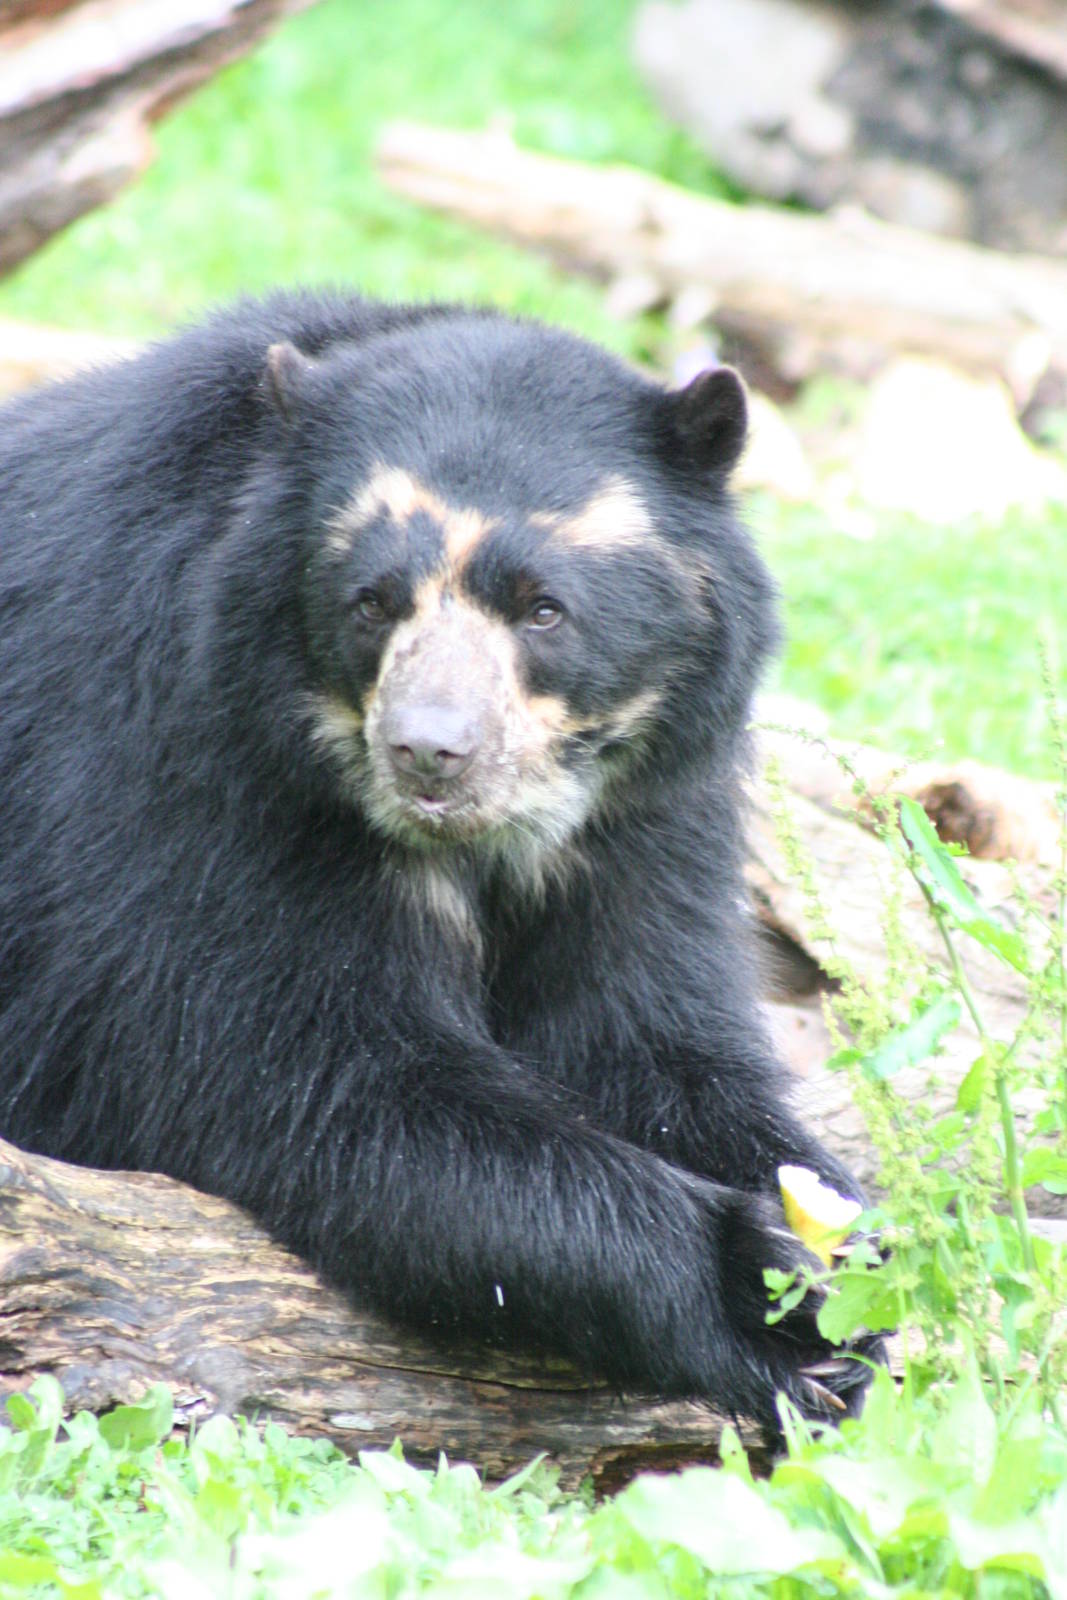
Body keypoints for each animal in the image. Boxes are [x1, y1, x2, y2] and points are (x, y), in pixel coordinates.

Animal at [0, 290, 875, 1429]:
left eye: (543, 607)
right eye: (374, 600)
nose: (428, 749)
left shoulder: (644, 809)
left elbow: (651, 1038)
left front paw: (845, 1261)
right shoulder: (192, 767)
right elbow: (322, 1080)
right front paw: (749, 1282)